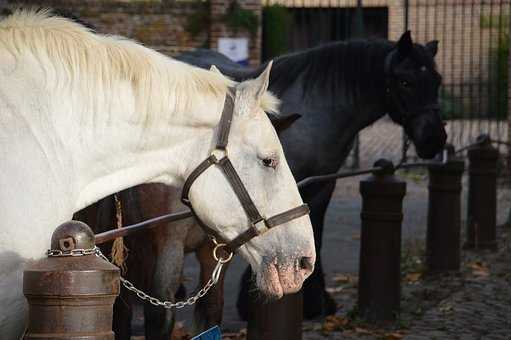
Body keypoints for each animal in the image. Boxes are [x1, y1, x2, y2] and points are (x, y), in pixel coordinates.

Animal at [177, 30, 448, 320]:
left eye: (437, 81)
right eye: (406, 82)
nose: (434, 139)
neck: (317, 110)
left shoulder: (321, 185)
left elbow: (314, 231)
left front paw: (316, 301)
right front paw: (252, 303)